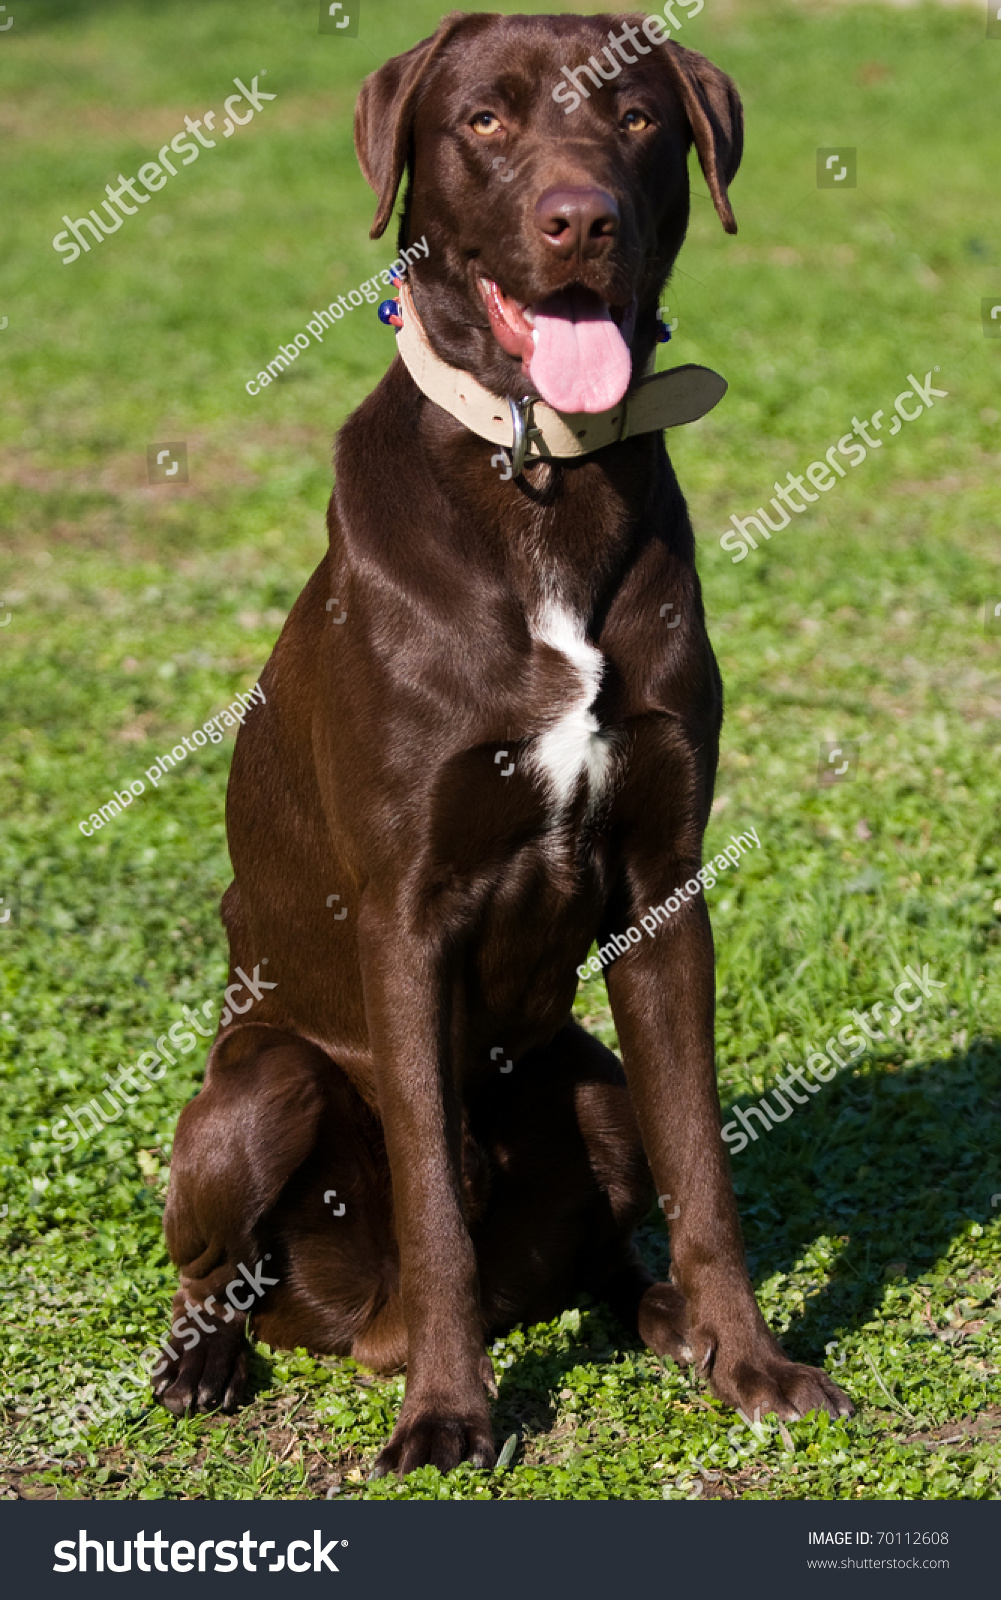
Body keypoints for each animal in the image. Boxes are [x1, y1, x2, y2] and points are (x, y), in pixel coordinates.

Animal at [157, 9, 850, 1472]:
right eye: (482, 118)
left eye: (637, 118)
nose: (578, 217)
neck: (539, 469)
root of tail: (351, 1329)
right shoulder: (405, 915)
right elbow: (432, 1191)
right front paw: (447, 1412)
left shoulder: (663, 890)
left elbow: (703, 1164)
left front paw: (753, 1362)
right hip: (259, 1089)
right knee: (217, 1260)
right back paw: (214, 1359)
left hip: (583, 1083)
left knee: (606, 1225)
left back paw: (664, 1321)